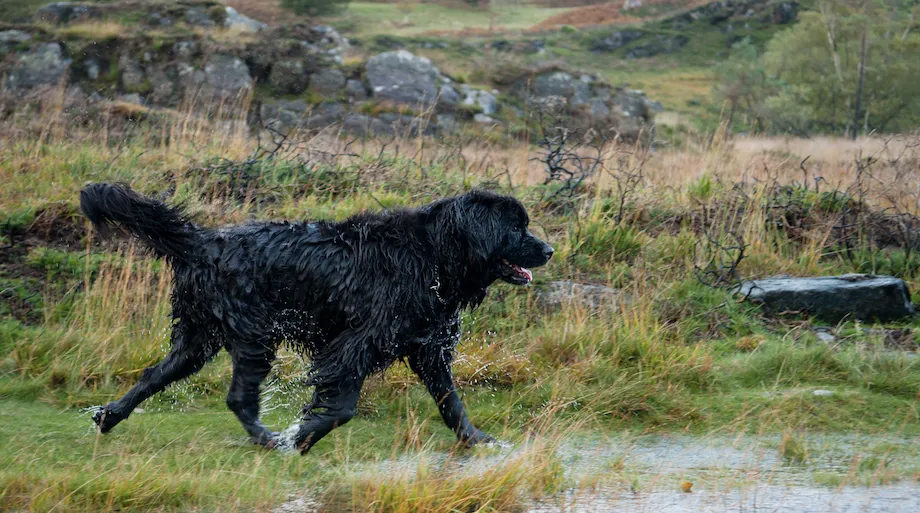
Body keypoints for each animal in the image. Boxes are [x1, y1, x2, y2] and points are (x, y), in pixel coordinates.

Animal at [81, 183, 552, 452]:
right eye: (515, 228)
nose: (548, 250)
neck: (433, 256)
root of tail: (203, 242)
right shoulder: (355, 344)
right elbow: (341, 406)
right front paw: (303, 437)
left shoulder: (428, 349)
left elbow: (451, 402)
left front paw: (477, 440)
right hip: (254, 335)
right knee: (238, 398)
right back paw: (270, 440)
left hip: (199, 337)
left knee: (152, 376)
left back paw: (110, 416)